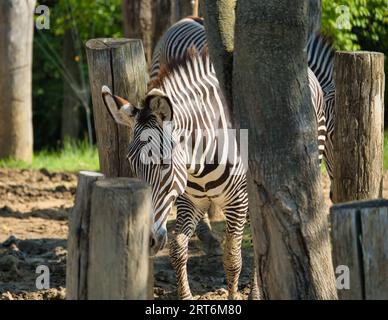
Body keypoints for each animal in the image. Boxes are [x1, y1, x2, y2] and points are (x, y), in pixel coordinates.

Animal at [103, 48, 247, 298]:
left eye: (164, 164)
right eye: (131, 163)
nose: (146, 240)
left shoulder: (238, 201)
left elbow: (232, 258)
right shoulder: (188, 201)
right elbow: (178, 249)